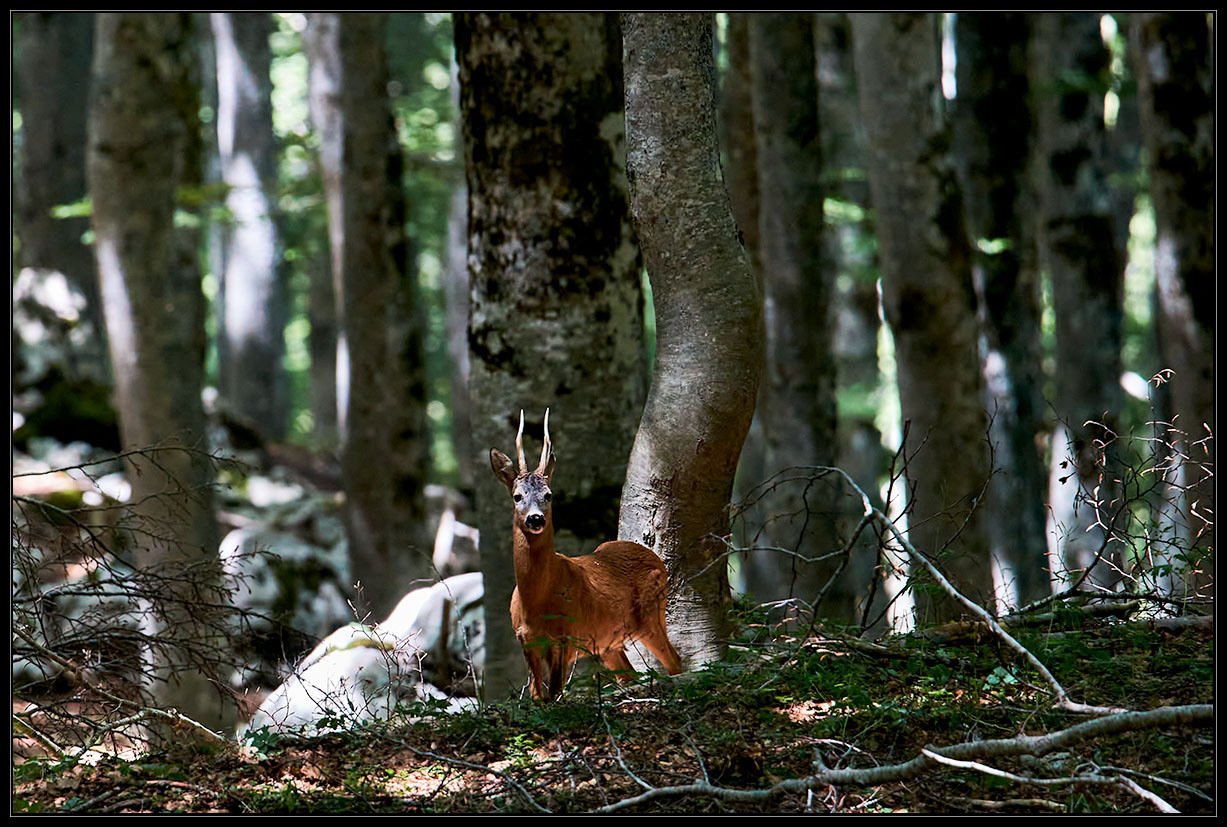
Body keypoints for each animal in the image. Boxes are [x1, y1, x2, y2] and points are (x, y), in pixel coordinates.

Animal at [490, 409, 683, 701]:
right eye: (517, 496)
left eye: (549, 495)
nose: (535, 519)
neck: (536, 602)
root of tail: (655, 558)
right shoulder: (526, 640)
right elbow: (538, 698)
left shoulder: (566, 636)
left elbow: (555, 697)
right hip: (609, 643)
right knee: (630, 674)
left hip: (651, 614)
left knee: (675, 662)